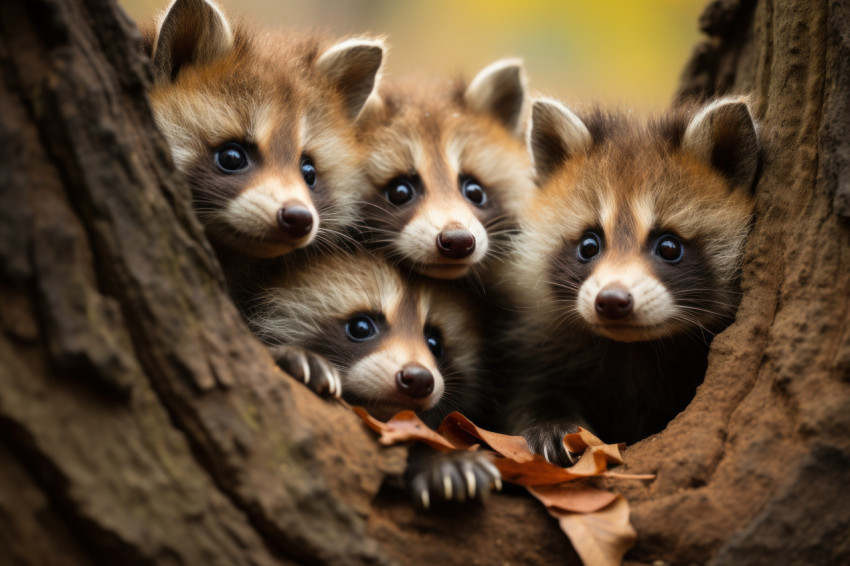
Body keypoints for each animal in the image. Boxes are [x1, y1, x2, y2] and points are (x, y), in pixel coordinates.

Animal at [496, 95, 756, 464]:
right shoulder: (539, 343)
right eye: (589, 245)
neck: (634, 347)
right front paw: (550, 423)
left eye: (669, 247)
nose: (612, 301)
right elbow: (532, 391)